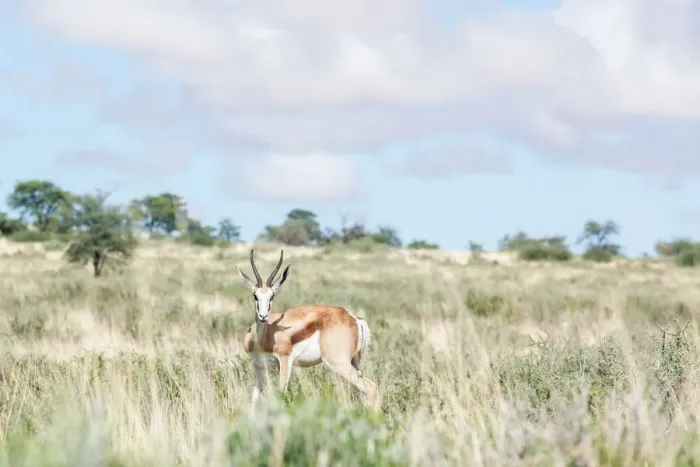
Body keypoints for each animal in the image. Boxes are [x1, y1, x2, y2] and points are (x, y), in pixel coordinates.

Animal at [234, 249, 379, 411]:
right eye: (255, 296)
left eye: (272, 296)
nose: (263, 316)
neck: (265, 338)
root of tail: (354, 318)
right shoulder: (259, 367)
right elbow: (254, 400)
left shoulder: (285, 361)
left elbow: (281, 394)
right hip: (355, 362)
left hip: (338, 363)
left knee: (370, 388)